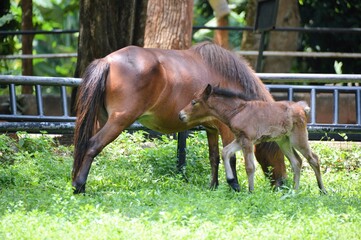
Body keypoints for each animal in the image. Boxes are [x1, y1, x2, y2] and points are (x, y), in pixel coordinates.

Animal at [71, 42, 284, 193]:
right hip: (118, 121)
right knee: (92, 145)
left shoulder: (211, 128)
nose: (283, 184)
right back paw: (79, 186)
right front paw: (235, 187)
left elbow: (214, 157)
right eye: (281, 150)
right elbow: (229, 157)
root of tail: (107, 61)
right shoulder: (226, 129)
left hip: (101, 119)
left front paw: (213, 186)